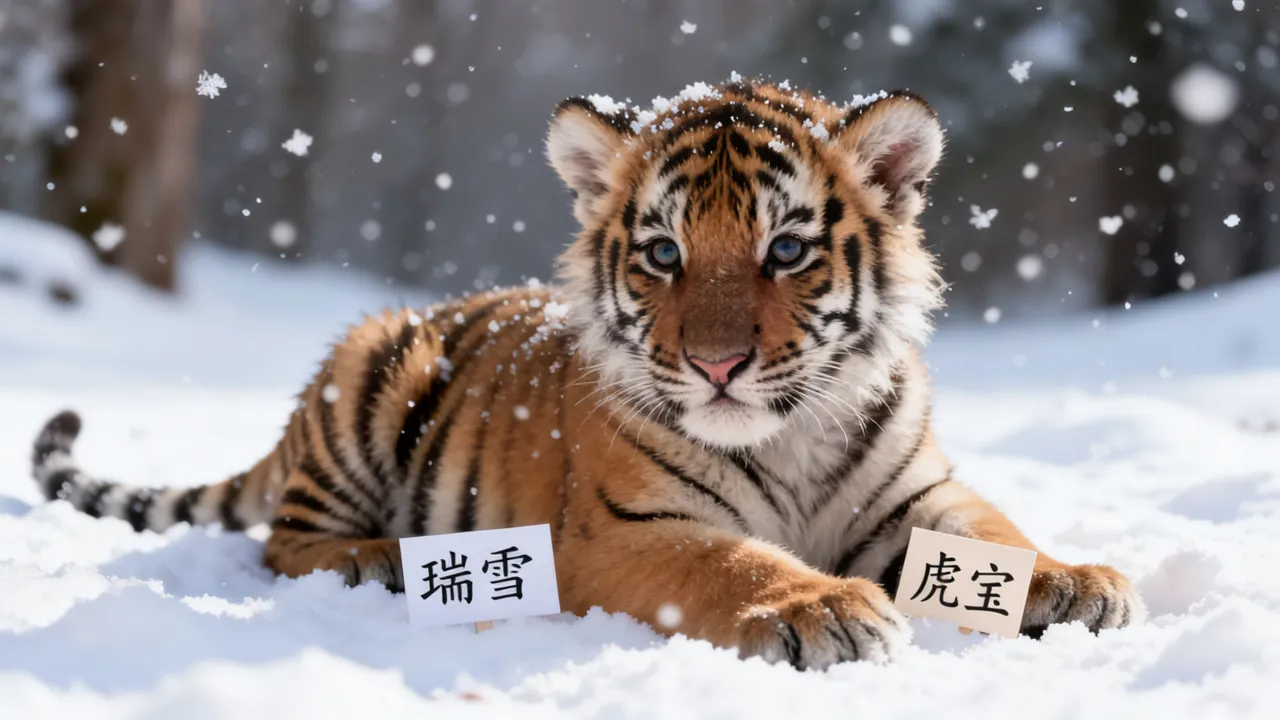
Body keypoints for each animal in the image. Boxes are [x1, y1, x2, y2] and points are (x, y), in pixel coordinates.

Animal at [31, 78, 1145, 670]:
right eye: (661, 253)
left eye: (786, 249)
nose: (716, 363)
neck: (785, 434)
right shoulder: (622, 531)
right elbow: (731, 561)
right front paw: (818, 608)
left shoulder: (919, 496)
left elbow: (997, 535)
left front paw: (1076, 582)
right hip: (374, 368)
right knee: (283, 540)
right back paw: (371, 557)